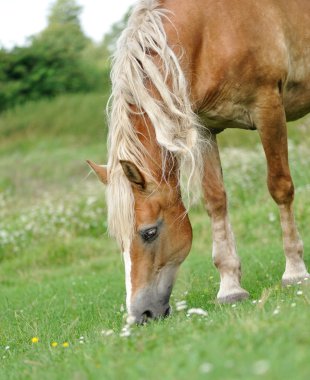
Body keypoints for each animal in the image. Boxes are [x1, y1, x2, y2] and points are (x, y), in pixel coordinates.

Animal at [87, 0, 310, 324]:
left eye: (149, 232)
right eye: (119, 241)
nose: (140, 315)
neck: (209, 31)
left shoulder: (268, 107)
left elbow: (280, 187)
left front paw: (295, 271)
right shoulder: (205, 128)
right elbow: (215, 202)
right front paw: (230, 288)